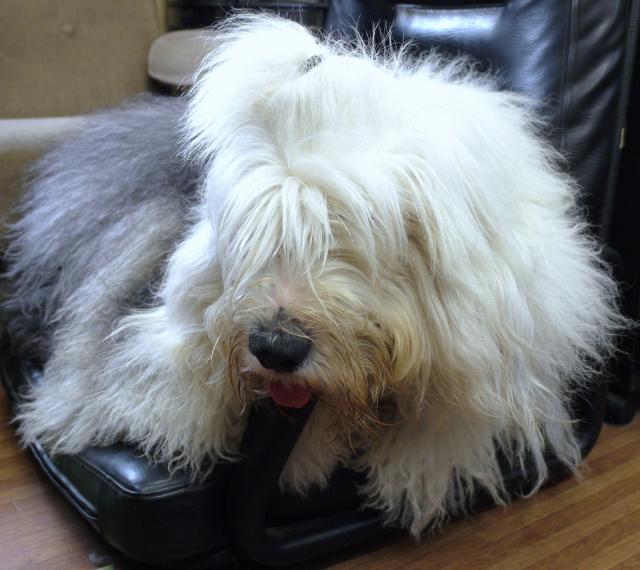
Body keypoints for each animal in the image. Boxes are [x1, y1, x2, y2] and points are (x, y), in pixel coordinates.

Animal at [3, 14, 622, 535]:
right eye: (256, 236)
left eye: (354, 233)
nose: (275, 348)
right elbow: (182, 380)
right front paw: (297, 454)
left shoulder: (505, 341)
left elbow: (454, 411)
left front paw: (406, 471)